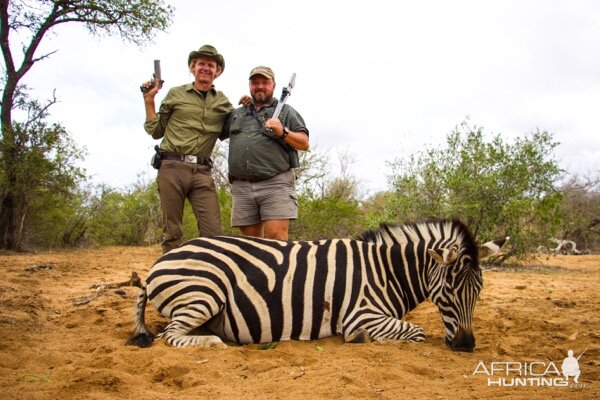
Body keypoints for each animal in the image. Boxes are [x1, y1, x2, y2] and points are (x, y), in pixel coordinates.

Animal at [126, 217, 506, 352]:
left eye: (478, 292)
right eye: (451, 291)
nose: (467, 346)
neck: (386, 271)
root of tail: (158, 263)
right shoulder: (360, 314)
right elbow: (416, 332)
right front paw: (364, 339)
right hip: (204, 292)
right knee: (169, 336)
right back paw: (213, 343)